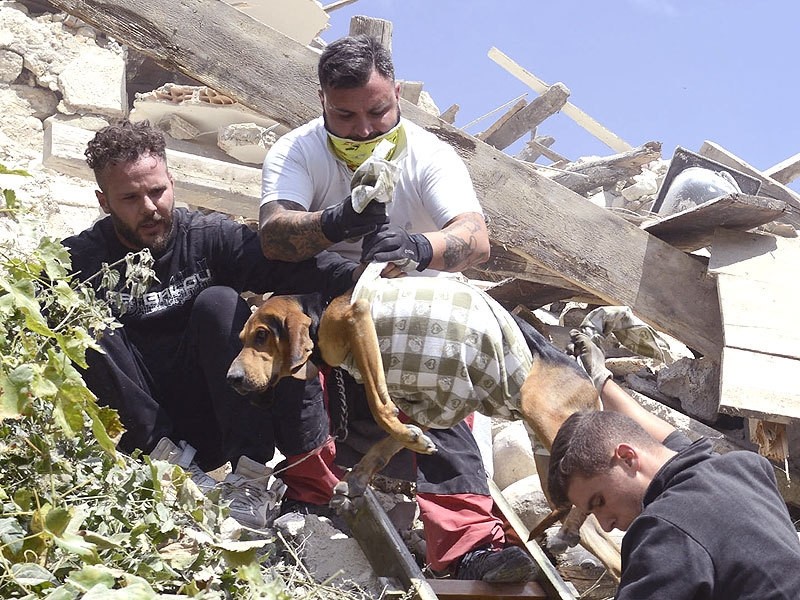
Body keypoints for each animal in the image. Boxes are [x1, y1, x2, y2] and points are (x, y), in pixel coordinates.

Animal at [225, 270, 620, 576]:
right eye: (242, 338)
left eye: (262, 335)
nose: (231, 379)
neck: (321, 311)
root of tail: (583, 378)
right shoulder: (439, 400)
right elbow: (387, 442)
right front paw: (361, 476)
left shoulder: (358, 321)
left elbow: (379, 405)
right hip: (549, 464)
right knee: (593, 529)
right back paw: (566, 536)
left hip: (545, 418)